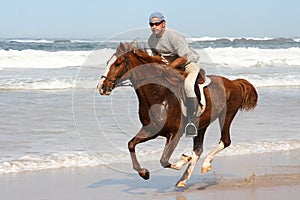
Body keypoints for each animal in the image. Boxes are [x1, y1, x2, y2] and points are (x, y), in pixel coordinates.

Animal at [96, 42, 258, 188]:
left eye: (118, 63)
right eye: (108, 62)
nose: (102, 87)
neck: (158, 95)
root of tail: (233, 83)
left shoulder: (175, 133)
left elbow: (163, 160)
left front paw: (183, 160)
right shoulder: (151, 130)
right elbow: (131, 144)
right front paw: (144, 173)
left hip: (227, 115)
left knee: (225, 140)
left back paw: (205, 165)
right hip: (201, 125)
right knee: (198, 149)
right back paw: (183, 179)